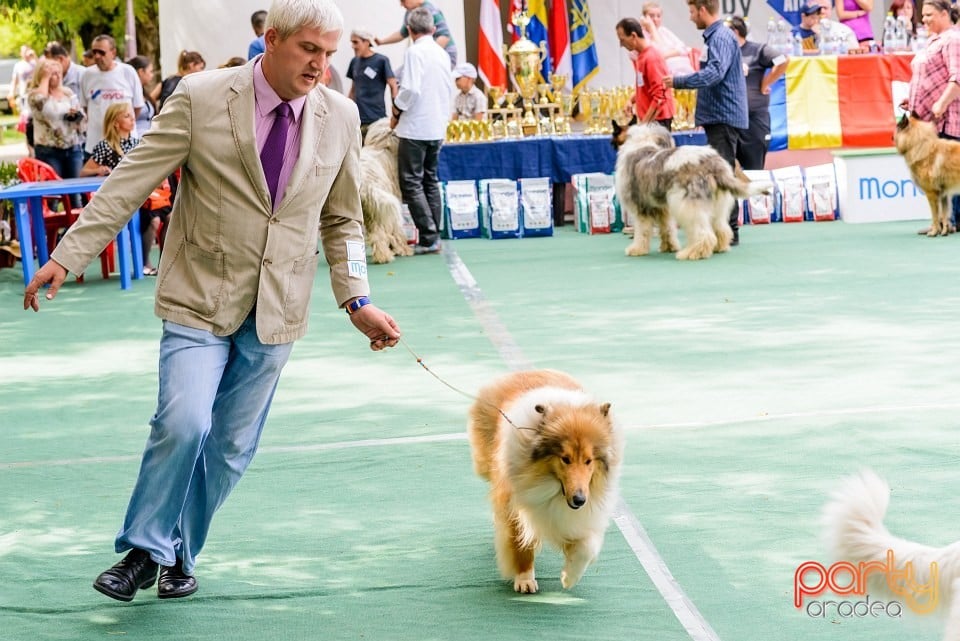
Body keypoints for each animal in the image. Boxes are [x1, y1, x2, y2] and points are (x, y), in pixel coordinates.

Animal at [466, 370, 624, 596]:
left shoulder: (580, 518)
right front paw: (524, 579)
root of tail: (526, 372)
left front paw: (569, 578)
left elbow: (586, 547)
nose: (579, 500)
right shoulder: (515, 504)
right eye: (565, 458)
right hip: (484, 463)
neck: (552, 487)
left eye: (589, 460)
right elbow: (520, 544)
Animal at [616, 121, 772, 258]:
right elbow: (667, 228)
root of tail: (714, 164)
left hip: (688, 205)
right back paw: (719, 247)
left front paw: (636, 249)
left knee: (704, 234)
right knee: (721, 229)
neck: (642, 144)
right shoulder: (662, 209)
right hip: (717, 204)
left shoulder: (641, 207)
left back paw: (691, 253)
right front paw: (669, 247)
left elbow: (642, 230)